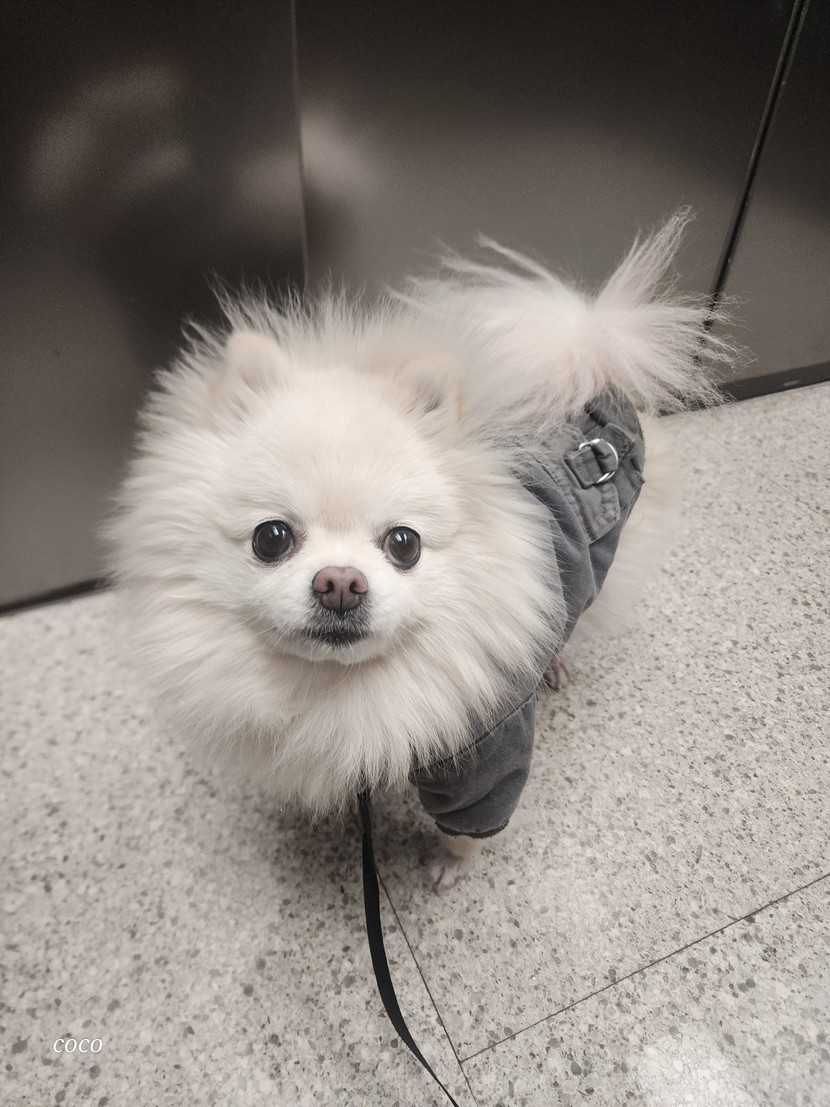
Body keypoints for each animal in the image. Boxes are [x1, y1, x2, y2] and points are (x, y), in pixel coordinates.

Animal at [107, 212, 732, 891]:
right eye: (270, 538)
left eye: (403, 544)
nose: (340, 583)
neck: (340, 692)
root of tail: (588, 357)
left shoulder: (484, 758)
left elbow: (469, 826)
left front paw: (449, 865)